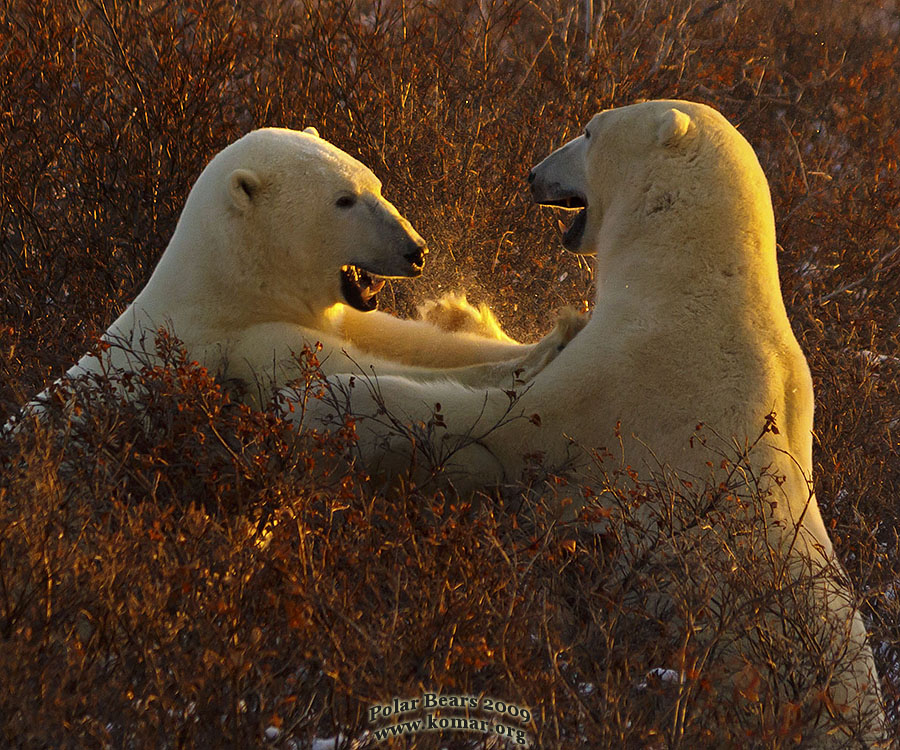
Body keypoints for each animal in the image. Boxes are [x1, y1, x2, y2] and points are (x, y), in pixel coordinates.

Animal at [21, 126, 580, 420]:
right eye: (344, 200)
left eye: (376, 184)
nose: (416, 251)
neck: (234, 288)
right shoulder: (235, 344)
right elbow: (353, 368)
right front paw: (545, 350)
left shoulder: (340, 313)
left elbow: (413, 340)